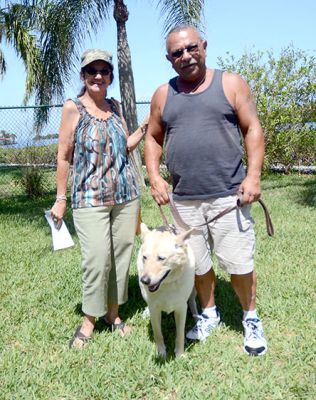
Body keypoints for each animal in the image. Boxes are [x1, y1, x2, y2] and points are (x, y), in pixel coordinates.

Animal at [137, 223, 196, 358]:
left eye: (161, 258)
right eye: (145, 257)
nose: (144, 280)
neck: (167, 284)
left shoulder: (181, 308)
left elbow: (180, 333)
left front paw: (179, 355)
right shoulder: (154, 309)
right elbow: (157, 333)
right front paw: (162, 354)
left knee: (192, 301)